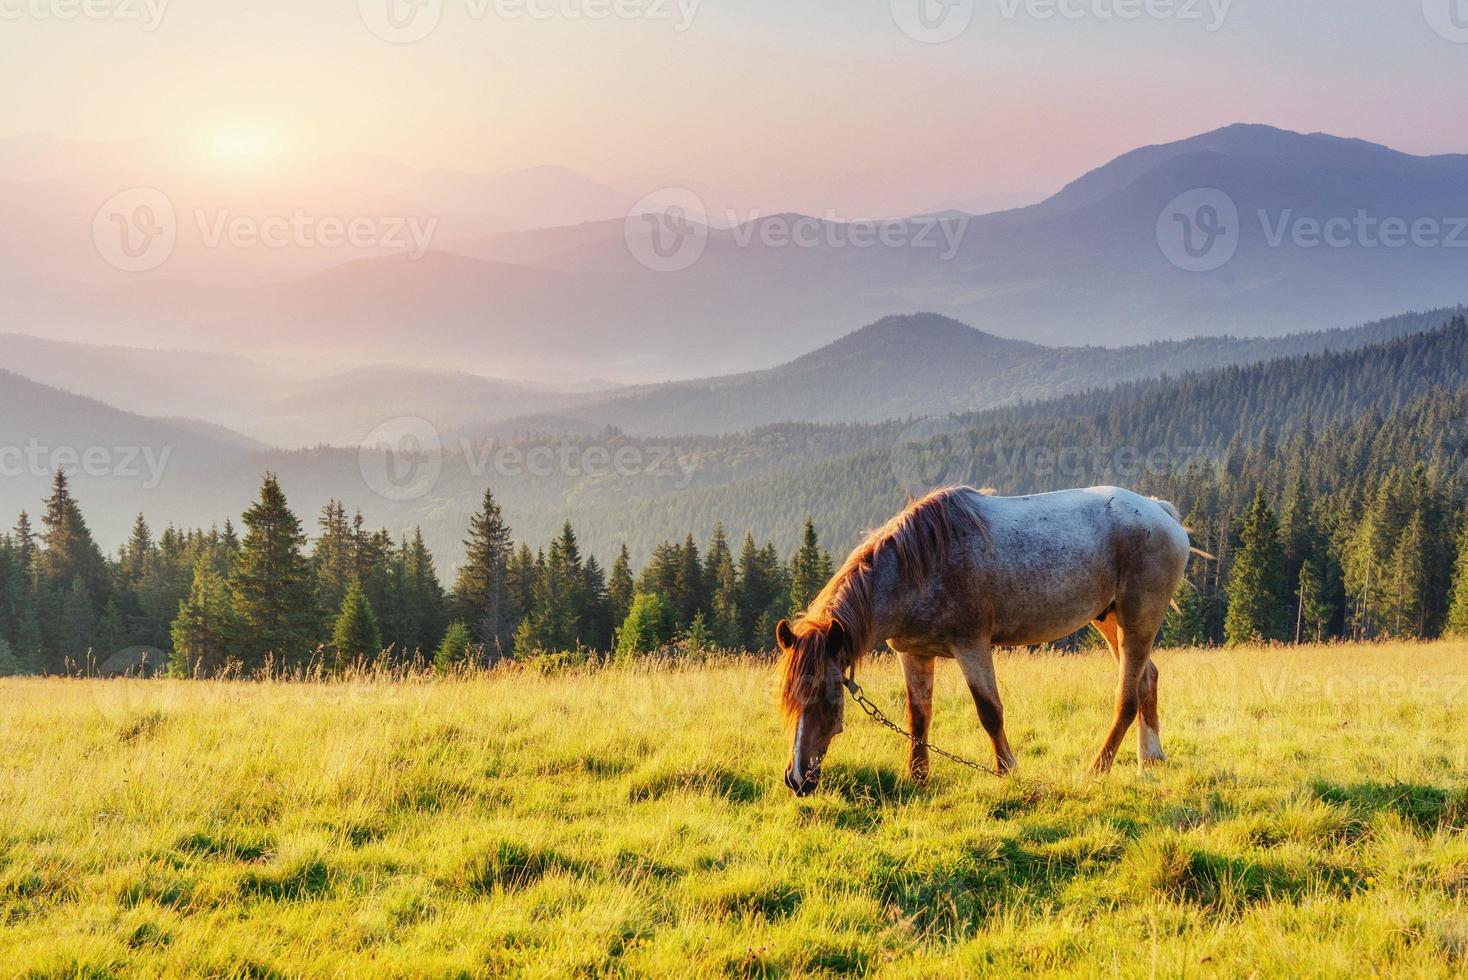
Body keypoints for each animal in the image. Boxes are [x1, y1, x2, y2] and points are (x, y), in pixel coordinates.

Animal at [780, 484, 1192, 798]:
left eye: (825, 697)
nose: (797, 779)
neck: (918, 569)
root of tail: (1160, 511)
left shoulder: (972, 646)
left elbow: (989, 712)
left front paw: (1007, 771)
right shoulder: (913, 654)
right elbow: (918, 717)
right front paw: (918, 778)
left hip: (1138, 620)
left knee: (1127, 697)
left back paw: (1098, 769)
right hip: (1110, 622)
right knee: (1147, 678)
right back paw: (1151, 759)